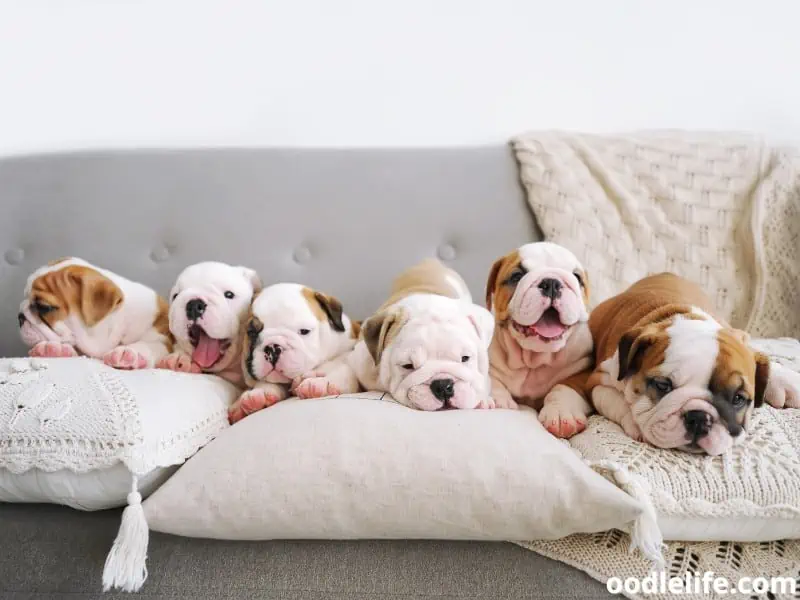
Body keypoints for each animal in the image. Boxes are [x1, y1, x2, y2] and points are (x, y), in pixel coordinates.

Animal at [18, 256, 170, 368]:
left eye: (44, 307)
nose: (20, 317)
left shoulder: (164, 337)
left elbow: (152, 345)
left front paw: (132, 351)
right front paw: (53, 348)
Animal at [227, 284, 360, 424]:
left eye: (304, 331)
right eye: (251, 332)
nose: (272, 348)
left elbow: (342, 367)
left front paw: (324, 383)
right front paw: (261, 391)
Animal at [310, 258, 496, 412]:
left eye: (465, 358)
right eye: (407, 366)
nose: (443, 385)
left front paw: (483, 400)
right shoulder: (358, 359)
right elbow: (346, 371)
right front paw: (325, 384)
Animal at [580, 272, 800, 454]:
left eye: (738, 398)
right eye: (663, 385)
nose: (700, 417)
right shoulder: (598, 382)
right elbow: (617, 401)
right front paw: (635, 423)